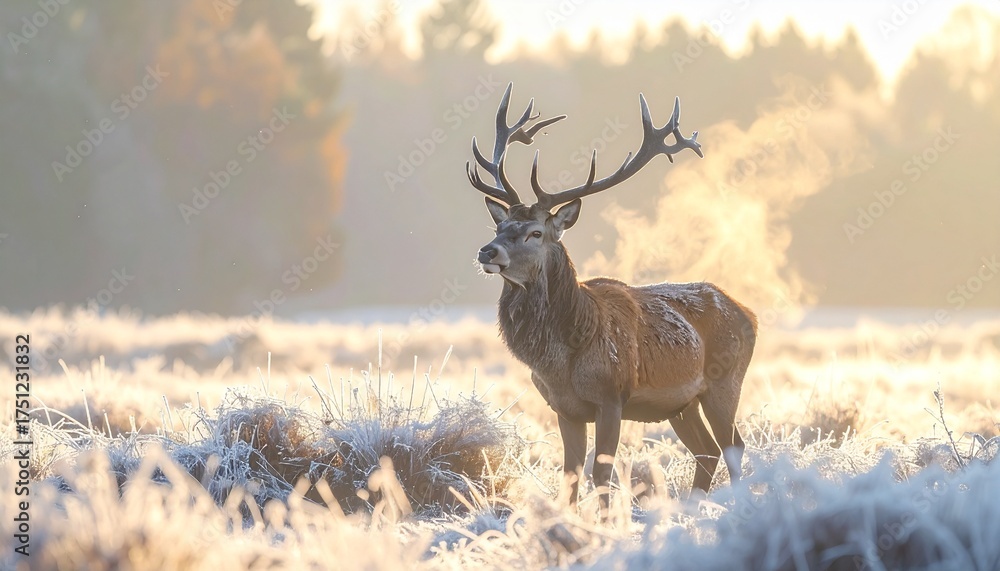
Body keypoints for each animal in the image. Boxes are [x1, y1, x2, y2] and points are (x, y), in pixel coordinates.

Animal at [465, 83, 757, 511]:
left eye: (536, 232)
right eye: (499, 226)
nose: (488, 252)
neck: (562, 359)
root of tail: (750, 314)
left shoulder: (612, 397)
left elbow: (601, 474)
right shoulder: (564, 408)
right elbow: (570, 475)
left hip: (725, 381)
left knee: (734, 445)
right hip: (681, 405)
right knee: (708, 451)